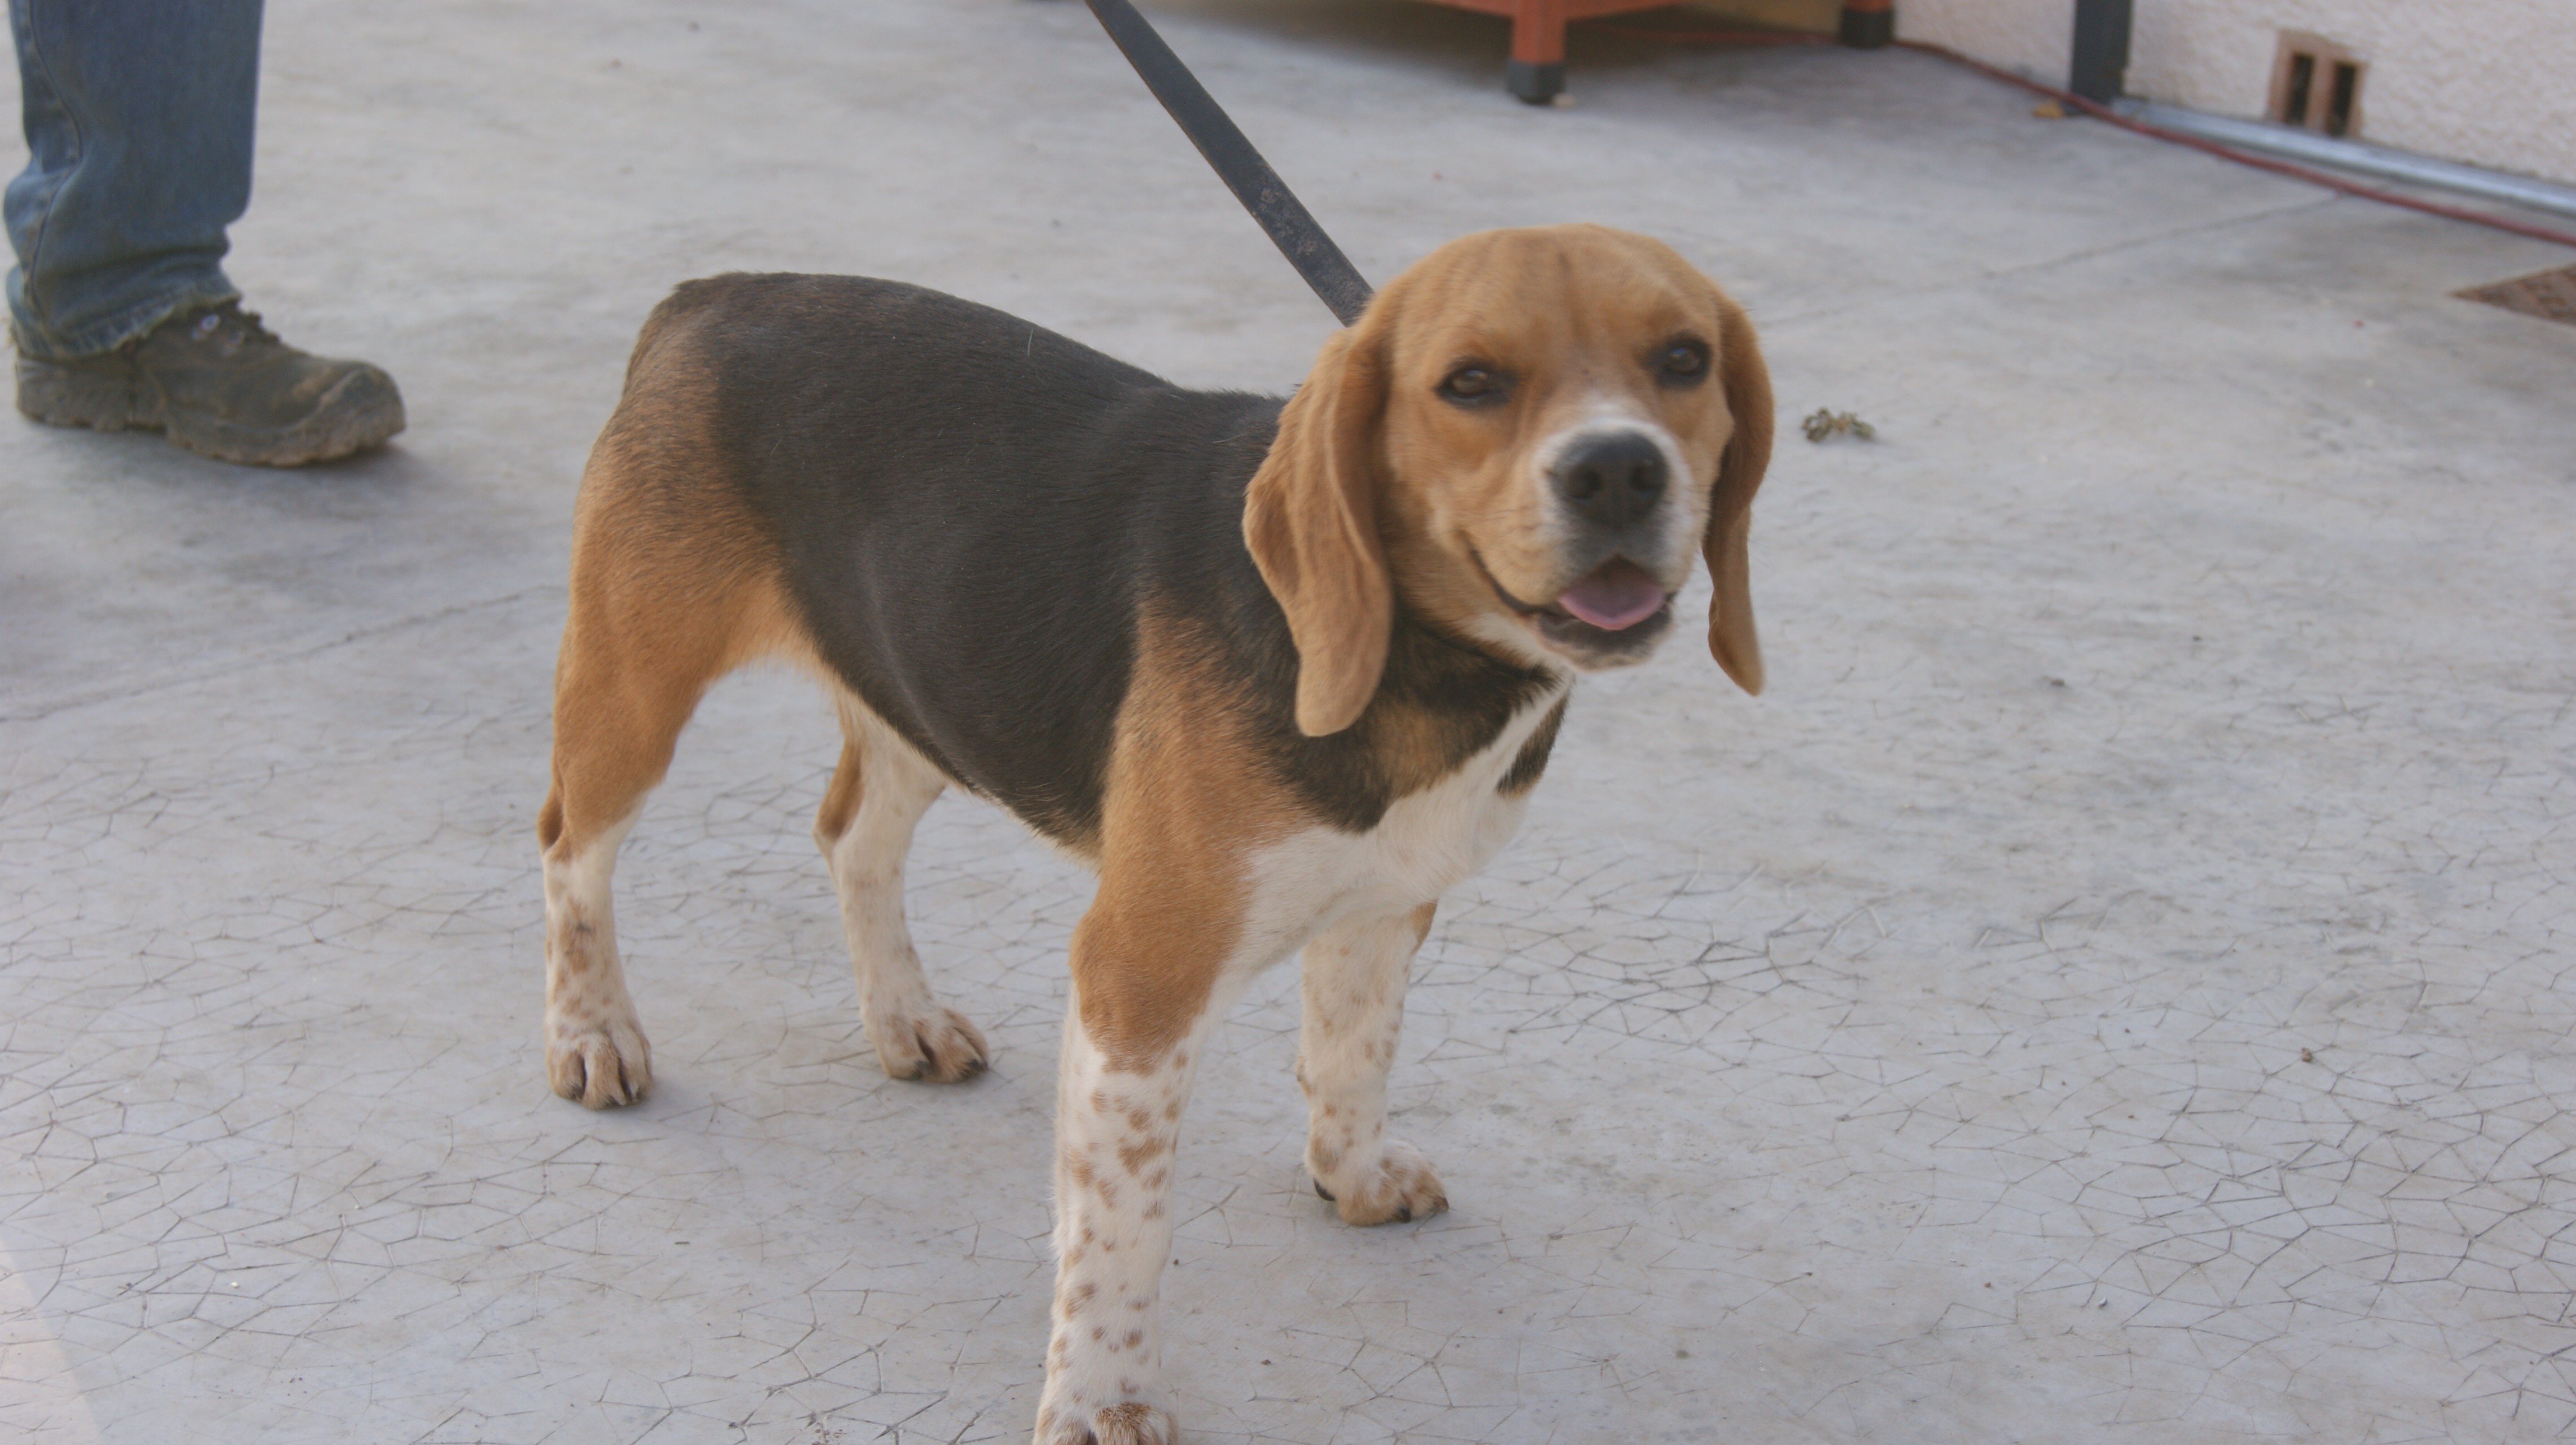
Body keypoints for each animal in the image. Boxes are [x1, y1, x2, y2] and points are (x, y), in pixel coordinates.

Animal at [536, 220, 1782, 1432]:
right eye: (1470, 382)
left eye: (1684, 359)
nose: (1617, 469)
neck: (1416, 665)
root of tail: (714, 293)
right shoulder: (1139, 980)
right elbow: (1124, 1229)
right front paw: (1103, 1396)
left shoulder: (1384, 907)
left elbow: (1353, 1054)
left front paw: (1350, 1172)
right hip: (634, 695)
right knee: (568, 851)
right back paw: (591, 1033)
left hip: (920, 693)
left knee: (851, 837)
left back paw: (903, 1016)